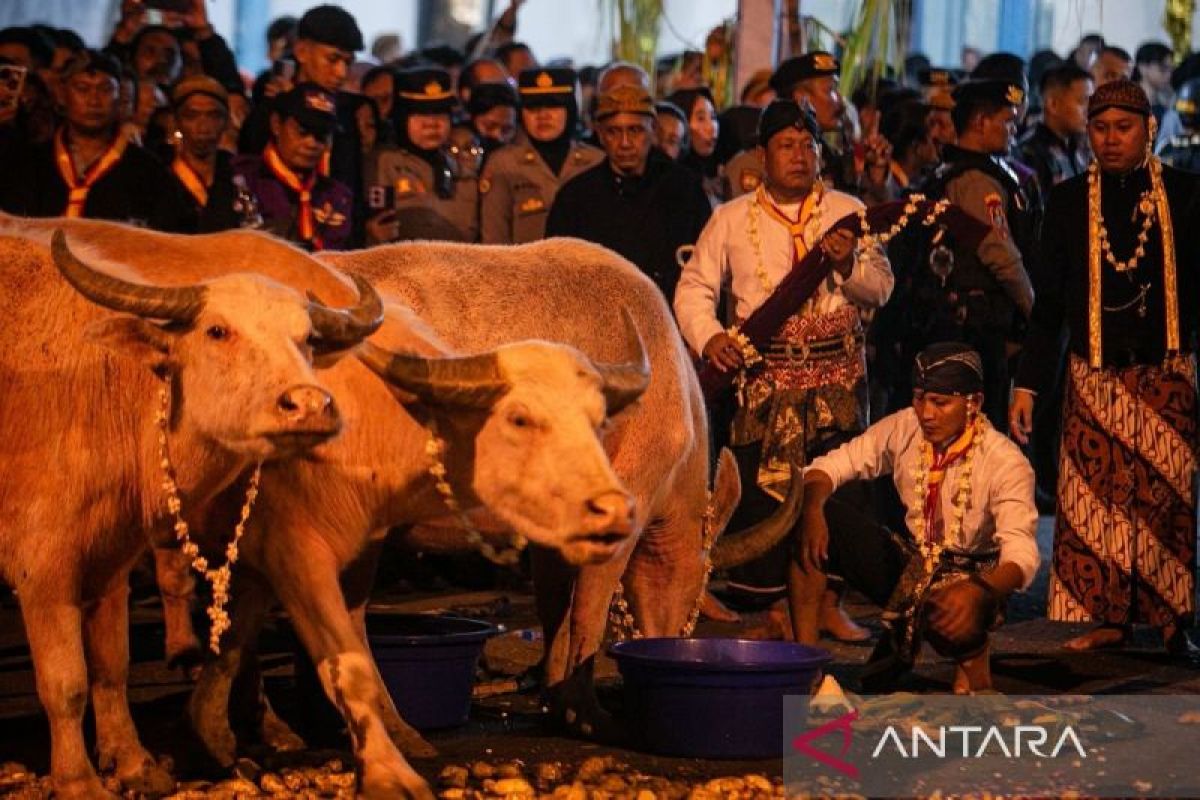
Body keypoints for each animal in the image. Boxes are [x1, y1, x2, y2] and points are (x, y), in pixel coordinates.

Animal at [0, 215, 381, 796]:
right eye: (217, 331)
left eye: (308, 339)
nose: (309, 405)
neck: (104, 392)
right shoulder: (42, 569)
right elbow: (65, 683)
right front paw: (79, 781)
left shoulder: (110, 560)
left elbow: (111, 667)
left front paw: (133, 762)